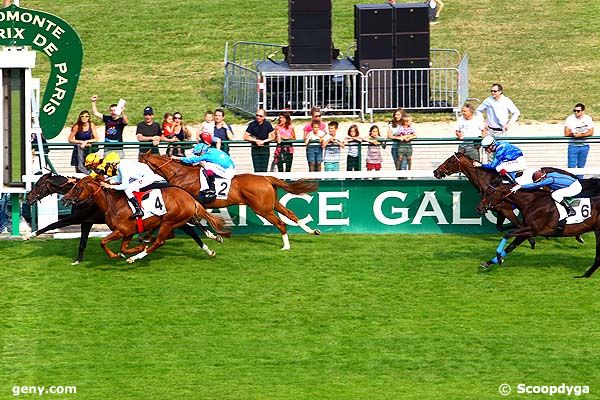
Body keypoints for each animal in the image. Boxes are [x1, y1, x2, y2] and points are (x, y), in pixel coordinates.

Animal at [27, 172, 223, 262]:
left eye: (39, 185)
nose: (28, 198)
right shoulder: (87, 222)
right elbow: (83, 242)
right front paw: (77, 260)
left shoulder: (78, 219)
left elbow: (53, 224)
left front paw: (29, 235)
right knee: (190, 227)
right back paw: (212, 240)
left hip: (169, 220)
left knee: (186, 232)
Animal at [139, 152, 322, 250]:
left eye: (140, 162)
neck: (180, 174)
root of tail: (266, 178)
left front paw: (146, 238)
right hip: (272, 203)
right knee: (291, 214)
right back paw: (312, 231)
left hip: (262, 209)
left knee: (281, 223)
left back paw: (286, 246)